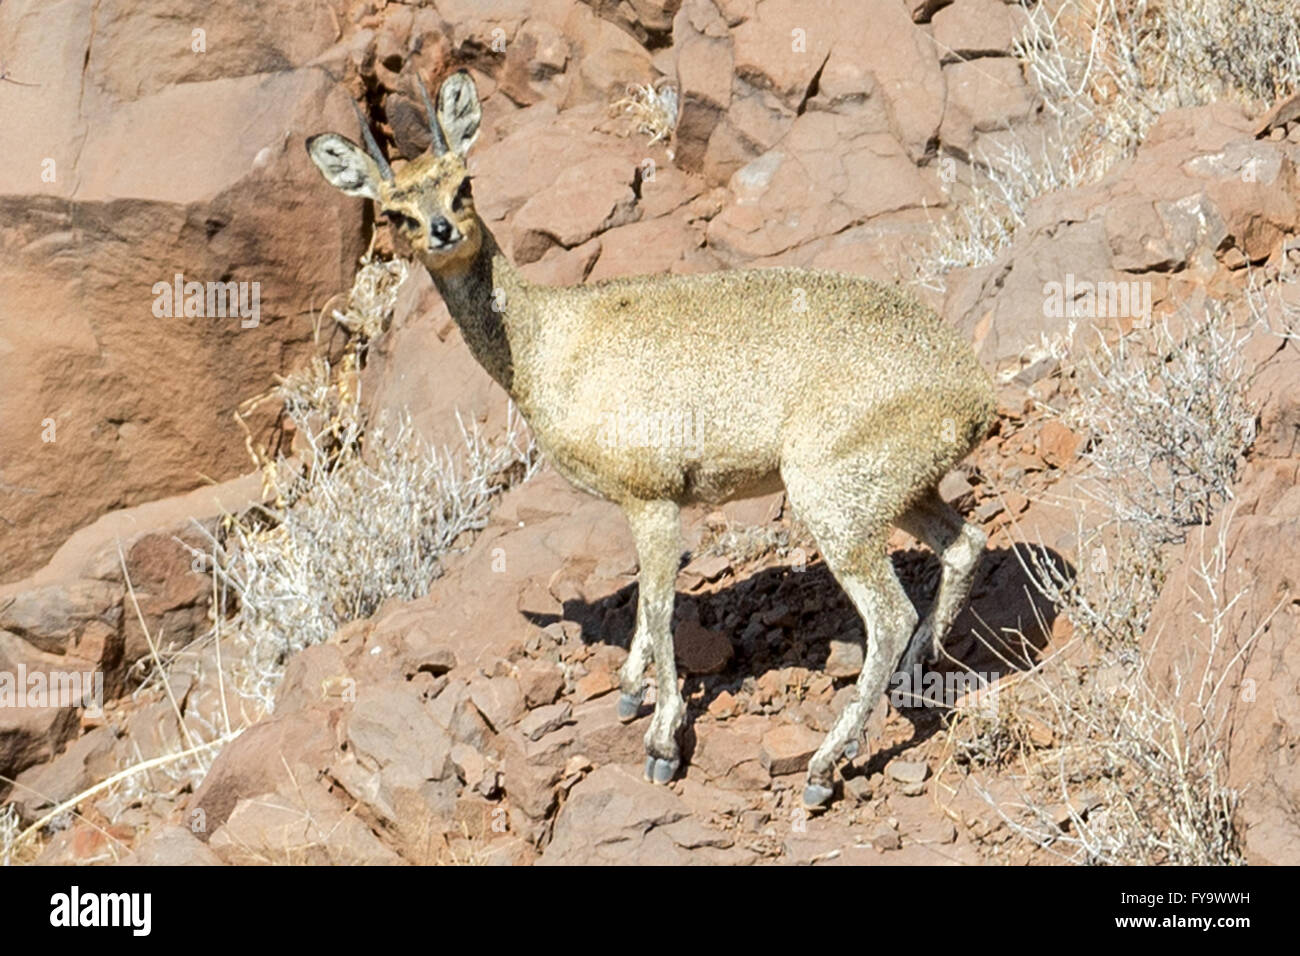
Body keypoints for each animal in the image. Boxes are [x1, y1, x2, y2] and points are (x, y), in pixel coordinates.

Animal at [304, 70, 993, 811]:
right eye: (393, 210)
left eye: (464, 182)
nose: (440, 230)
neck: (547, 343)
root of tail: (977, 392)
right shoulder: (646, 507)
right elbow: (646, 600)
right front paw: (633, 691)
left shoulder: (653, 499)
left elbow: (660, 608)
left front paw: (662, 742)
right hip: (902, 492)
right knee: (965, 546)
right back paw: (915, 680)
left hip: (836, 504)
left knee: (889, 616)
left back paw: (822, 767)